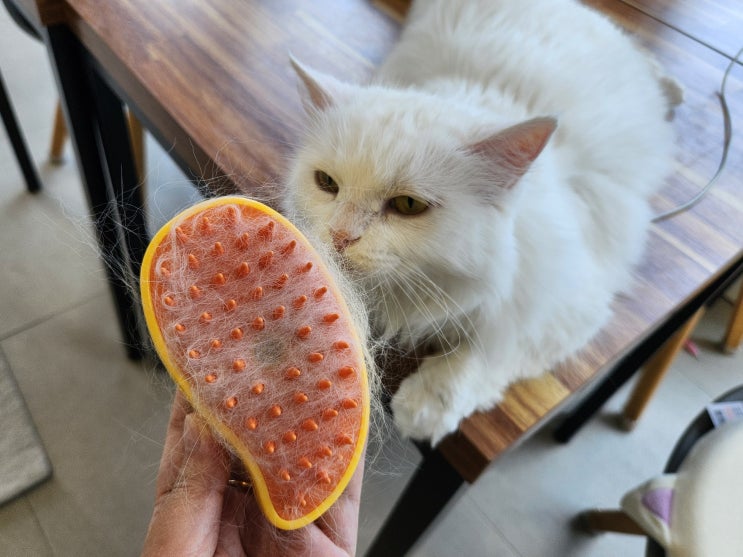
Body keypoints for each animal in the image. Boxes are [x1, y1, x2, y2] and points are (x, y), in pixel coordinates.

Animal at [282, 0, 678, 444]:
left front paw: (426, 406)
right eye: (326, 184)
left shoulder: (566, 303)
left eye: (407, 205)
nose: (340, 236)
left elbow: (492, 349)